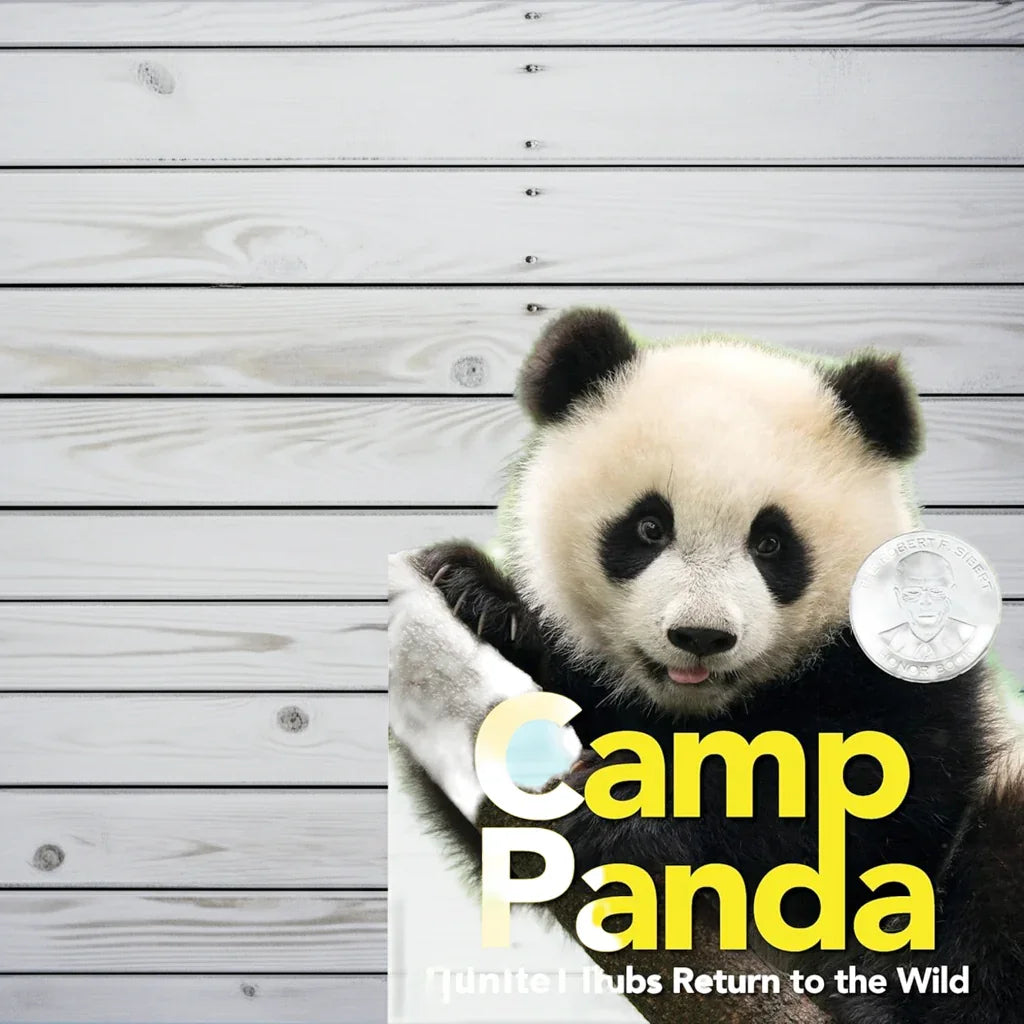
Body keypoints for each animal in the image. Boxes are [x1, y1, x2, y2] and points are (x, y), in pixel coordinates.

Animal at [399, 308, 1024, 1024]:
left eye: (772, 543)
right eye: (649, 527)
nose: (701, 636)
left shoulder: (903, 685)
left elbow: (858, 808)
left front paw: (632, 816)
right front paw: (476, 594)